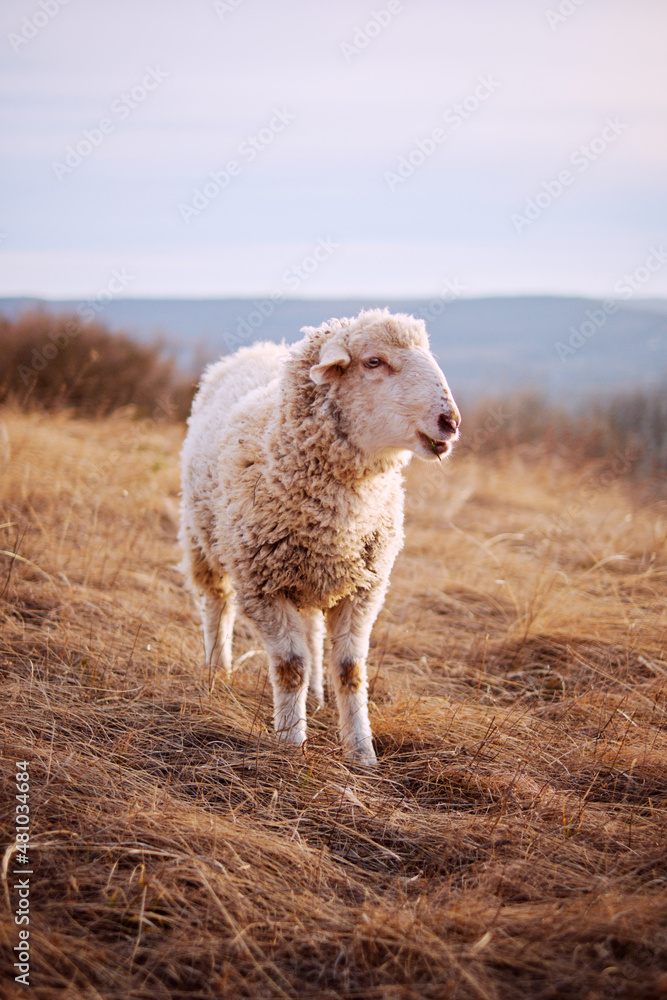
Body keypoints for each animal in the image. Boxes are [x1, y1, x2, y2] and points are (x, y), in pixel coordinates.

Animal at [179, 308, 460, 765]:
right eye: (374, 361)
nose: (450, 422)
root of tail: (258, 348)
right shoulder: (263, 585)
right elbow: (290, 666)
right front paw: (291, 742)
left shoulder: (363, 589)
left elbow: (350, 671)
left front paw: (362, 753)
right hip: (203, 538)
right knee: (217, 605)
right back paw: (216, 672)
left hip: (310, 577)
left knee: (311, 630)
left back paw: (314, 696)